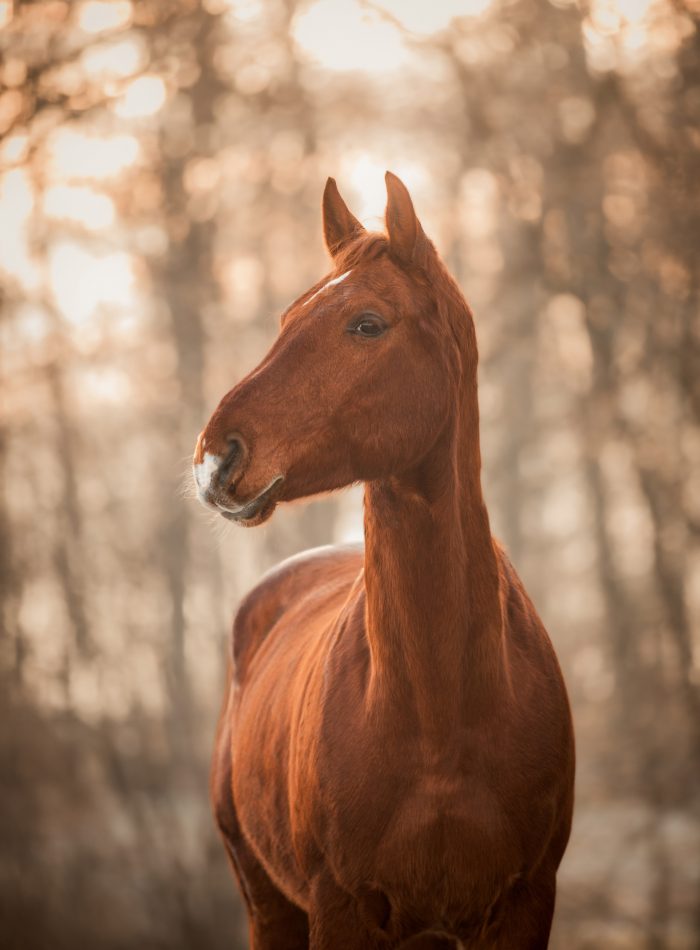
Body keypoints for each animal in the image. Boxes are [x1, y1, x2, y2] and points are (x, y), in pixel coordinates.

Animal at [196, 175, 576, 948]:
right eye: (289, 316)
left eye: (367, 324)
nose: (216, 458)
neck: (443, 719)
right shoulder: (339, 909)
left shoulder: (525, 902)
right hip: (268, 905)